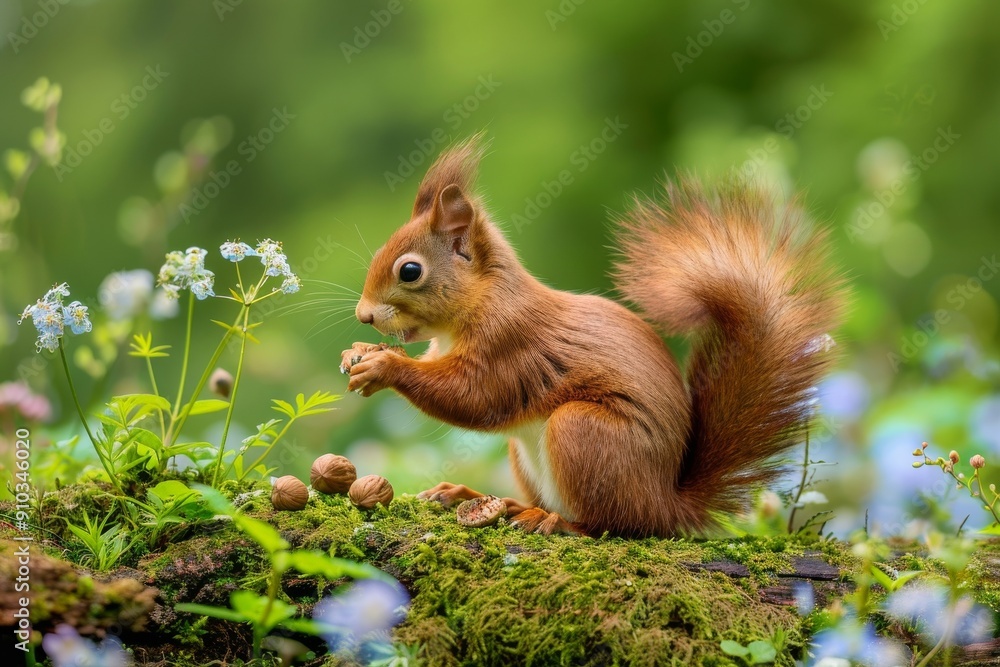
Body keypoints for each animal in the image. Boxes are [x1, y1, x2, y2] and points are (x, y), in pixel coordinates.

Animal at [340, 135, 845, 537]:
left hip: (583, 433)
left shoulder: (509, 345)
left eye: (410, 271)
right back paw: (481, 498)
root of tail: (667, 504)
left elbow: (473, 396)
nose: (363, 316)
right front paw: (359, 352)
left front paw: (385, 366)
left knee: (615, 524)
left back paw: (555, 521)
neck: (480, 303)